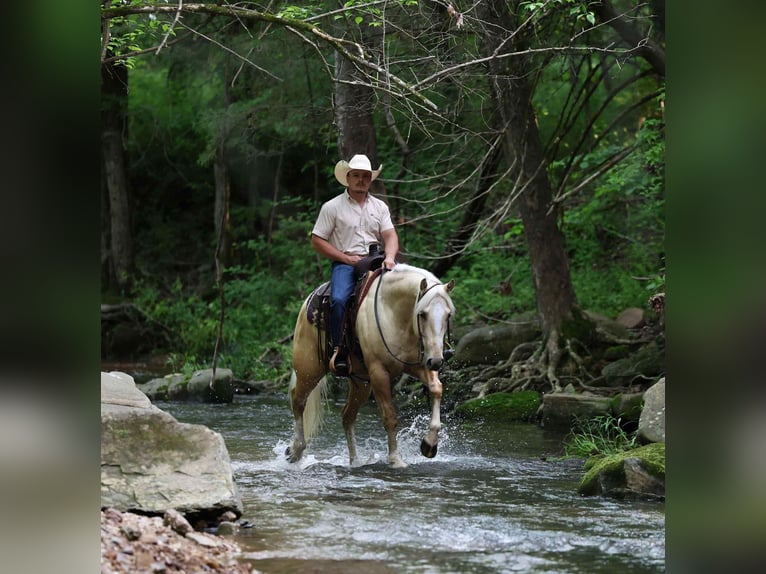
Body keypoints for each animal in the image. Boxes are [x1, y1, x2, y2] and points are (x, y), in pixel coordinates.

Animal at [286, 263, 456, 468]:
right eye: (422, 314)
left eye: (448, 315)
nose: (437, 360)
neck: (394, 314)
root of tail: (307, 303)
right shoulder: (379, 372)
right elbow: (390, 417)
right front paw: (395, 459)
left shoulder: (419, 365)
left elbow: (436, 388)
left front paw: (429, 445)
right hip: (309, 371)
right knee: (298, 401)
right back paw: (295, 451)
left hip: (361, 383)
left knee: (347, 416)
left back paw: (355, 462)